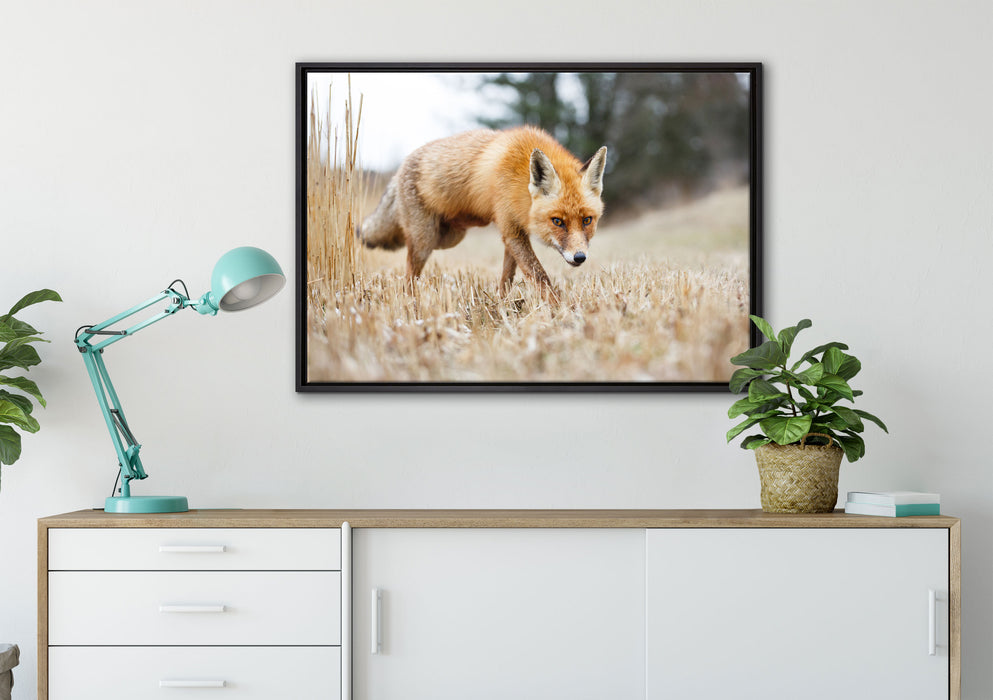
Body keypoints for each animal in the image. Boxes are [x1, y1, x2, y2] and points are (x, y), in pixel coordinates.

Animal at [357, 126, 608, 299]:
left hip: (448, 237)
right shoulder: (511, 230)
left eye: (587, 220)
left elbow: (508, 277)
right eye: (557, 221)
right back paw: (409, 301)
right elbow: (539, 276)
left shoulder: (513, 233)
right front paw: (560, 310)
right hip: (425, 241)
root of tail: (399, 169)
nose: (579, 257)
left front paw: (502, 303)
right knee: (409, 273)